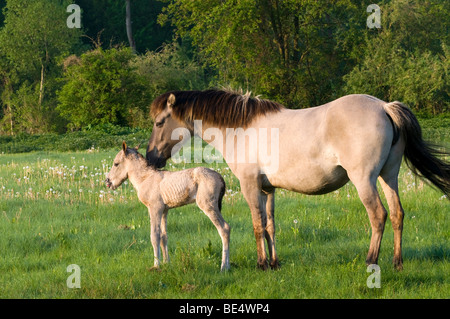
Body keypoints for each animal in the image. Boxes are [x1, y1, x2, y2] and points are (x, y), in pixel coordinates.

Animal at [106, 142, 230, 272]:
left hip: (208, 205)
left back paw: (224, 267)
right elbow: (163, 236)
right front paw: (166, 263)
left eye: (116, 163)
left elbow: (154, 235)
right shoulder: (164, 210)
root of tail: (220, 177)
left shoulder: (155, 208)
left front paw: (156, 265)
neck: (145, 178)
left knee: (224, 228)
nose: (107, 181)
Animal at [146, 89, 448, 272]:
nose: (151, 158)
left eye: (159, 122)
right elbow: (270, 226)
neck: (240, 130)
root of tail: (384, 106)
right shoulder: (268, 189)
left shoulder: (250, 186)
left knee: (378, 216)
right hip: (389, 176)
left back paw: (370, 261)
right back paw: (397, 263)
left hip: (365, 180)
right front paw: (274, 263)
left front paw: (261, 264)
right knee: (397, 214)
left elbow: (257, 226)